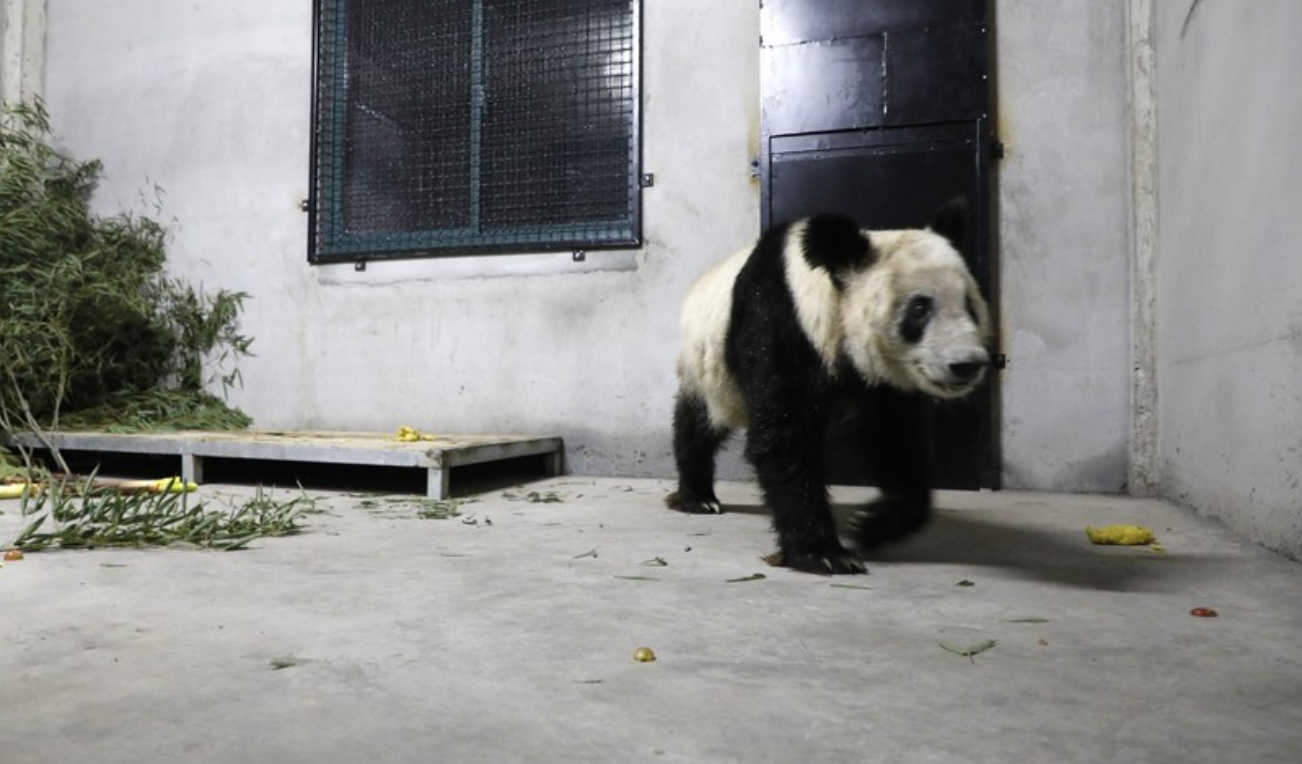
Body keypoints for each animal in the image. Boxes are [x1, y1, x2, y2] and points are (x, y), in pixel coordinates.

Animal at [671, 201, 984, 572]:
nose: (967, 364)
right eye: (920, 308)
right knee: (699, 423)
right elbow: (783, 435)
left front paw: (870, 525)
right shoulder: (779, 322)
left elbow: (895, 438)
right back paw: (698, 497)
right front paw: (823, 553)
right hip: (709, 368)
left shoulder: (883, 380)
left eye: (969, 304)